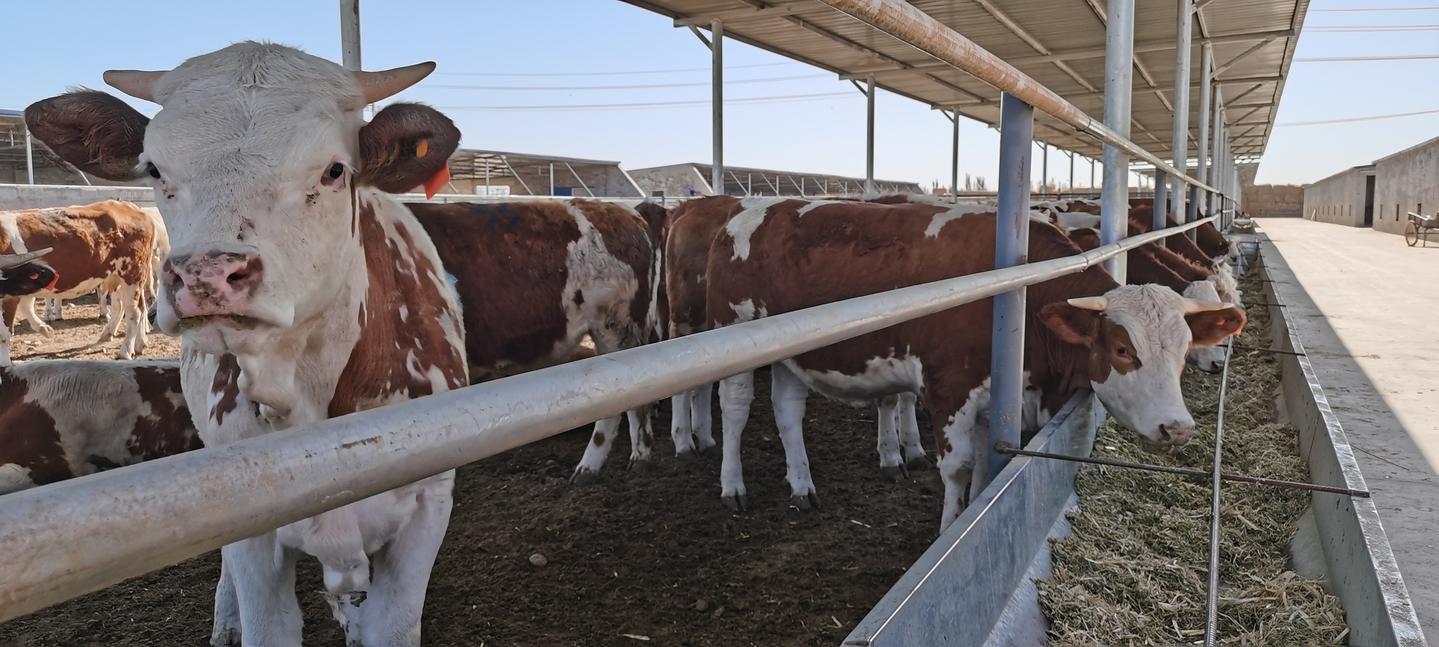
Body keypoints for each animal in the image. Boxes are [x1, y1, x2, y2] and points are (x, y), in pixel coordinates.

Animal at [0, 202, 159, 363]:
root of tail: (131, 207)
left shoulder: (9, 295)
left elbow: (4, 333)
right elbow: (26, 307)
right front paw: (45, 329)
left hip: (132, 274)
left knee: (134, 311)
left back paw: (125, 351)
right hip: (116, 277)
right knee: (126, 306)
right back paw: (134, 342)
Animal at [26, 41, 466, 647]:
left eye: (334, 170)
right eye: (154, 168)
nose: (206, 274)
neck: (307, 394)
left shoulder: (427, 507)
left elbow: (391, 624)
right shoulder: (251, 527)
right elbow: (267, 620)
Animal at [702, 199, 1243, 529]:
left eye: (1182, 347)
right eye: (1122, 350)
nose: (1178, 428)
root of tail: (743, 211)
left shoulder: (995, 396)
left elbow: (985, 465)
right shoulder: (949, 387)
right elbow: (959, 468)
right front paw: (948, 528)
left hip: (790, 355)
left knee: (787, 410)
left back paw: (802, 484)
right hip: (733, 335)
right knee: (736, 408)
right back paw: (732, 485)